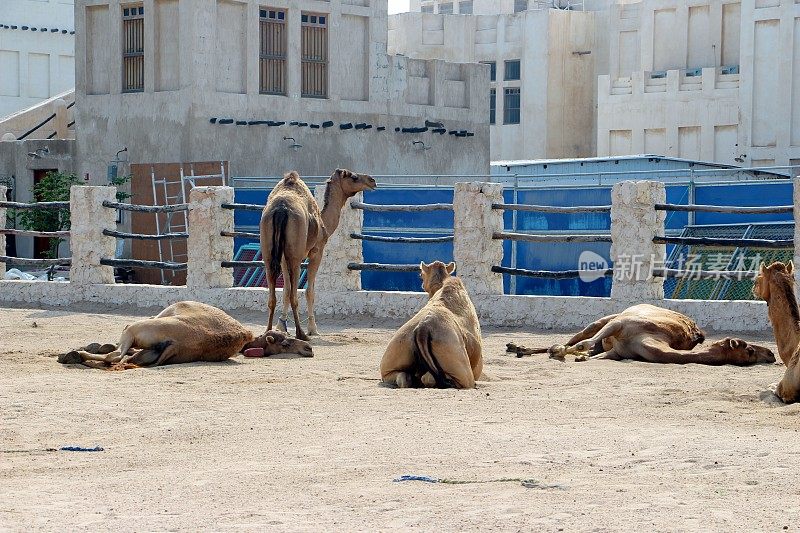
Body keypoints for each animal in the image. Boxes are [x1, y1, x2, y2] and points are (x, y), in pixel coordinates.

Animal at [260, 168, 378, 338]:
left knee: (273, 296)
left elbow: (285, 290)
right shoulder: (316, 252)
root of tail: (281, 209)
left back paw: (267, 331)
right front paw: (313, 328)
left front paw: (281, 326)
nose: (372, 180)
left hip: (268, 254)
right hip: (295, 257)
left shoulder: (282, 258)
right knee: (294, 295)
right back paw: (300, 333)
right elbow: (309, 291)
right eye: (354, 177)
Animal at [380, 260, 484, 388]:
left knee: (402, 377)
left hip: (394, 354)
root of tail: (423, 329)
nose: (422, 284)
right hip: (459, 363)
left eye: (421, 275)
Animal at [544, 304, 776, 366]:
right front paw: (560, 351)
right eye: (749, 349)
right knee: (583, 334)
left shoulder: (616, 353)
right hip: (610, 318)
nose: (771, 354)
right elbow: (583, 344)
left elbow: (594, 355)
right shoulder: (621, 324)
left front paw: (580, 356)